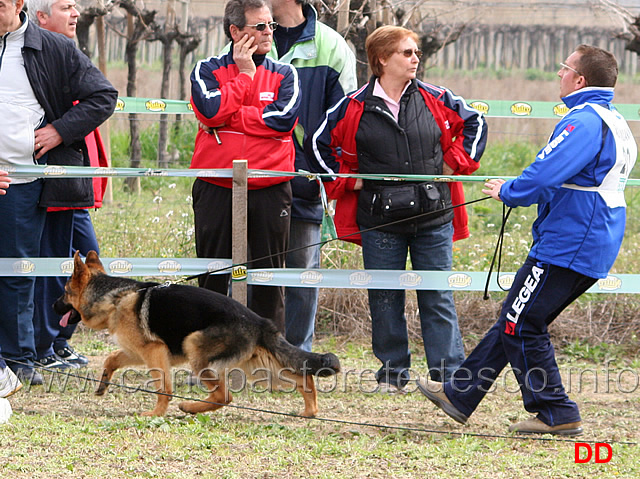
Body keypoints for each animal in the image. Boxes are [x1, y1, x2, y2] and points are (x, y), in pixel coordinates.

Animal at [53, 253, 340, 418]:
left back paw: (190, 407)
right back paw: (310, 411)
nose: (53, 306)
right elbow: (111, 359)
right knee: (303, 378)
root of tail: (258, 321)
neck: (115, 298)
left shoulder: (154, 352)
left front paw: (155, 414)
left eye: (65, 292)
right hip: (259, 367)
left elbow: (164, 389)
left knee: (224, 397)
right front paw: (102, 385)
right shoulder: (135, 352)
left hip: (195, 348)